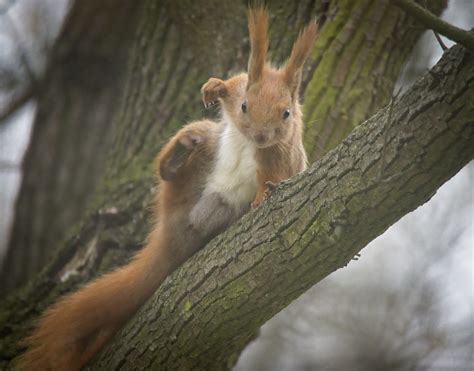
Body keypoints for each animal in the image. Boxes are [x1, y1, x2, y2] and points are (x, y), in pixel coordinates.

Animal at [17, 7, 318, 370]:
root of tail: (169, 235)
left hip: (215, 207)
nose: (260, 136)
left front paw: (262, 199)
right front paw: (214, 86)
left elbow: (276, 176)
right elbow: (232, 83)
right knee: (176, 168)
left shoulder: (283, 159)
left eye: (286, 114)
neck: (250, 142)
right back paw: (180, 151)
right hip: (194, 168)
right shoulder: (240, 90)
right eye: (245, 106)